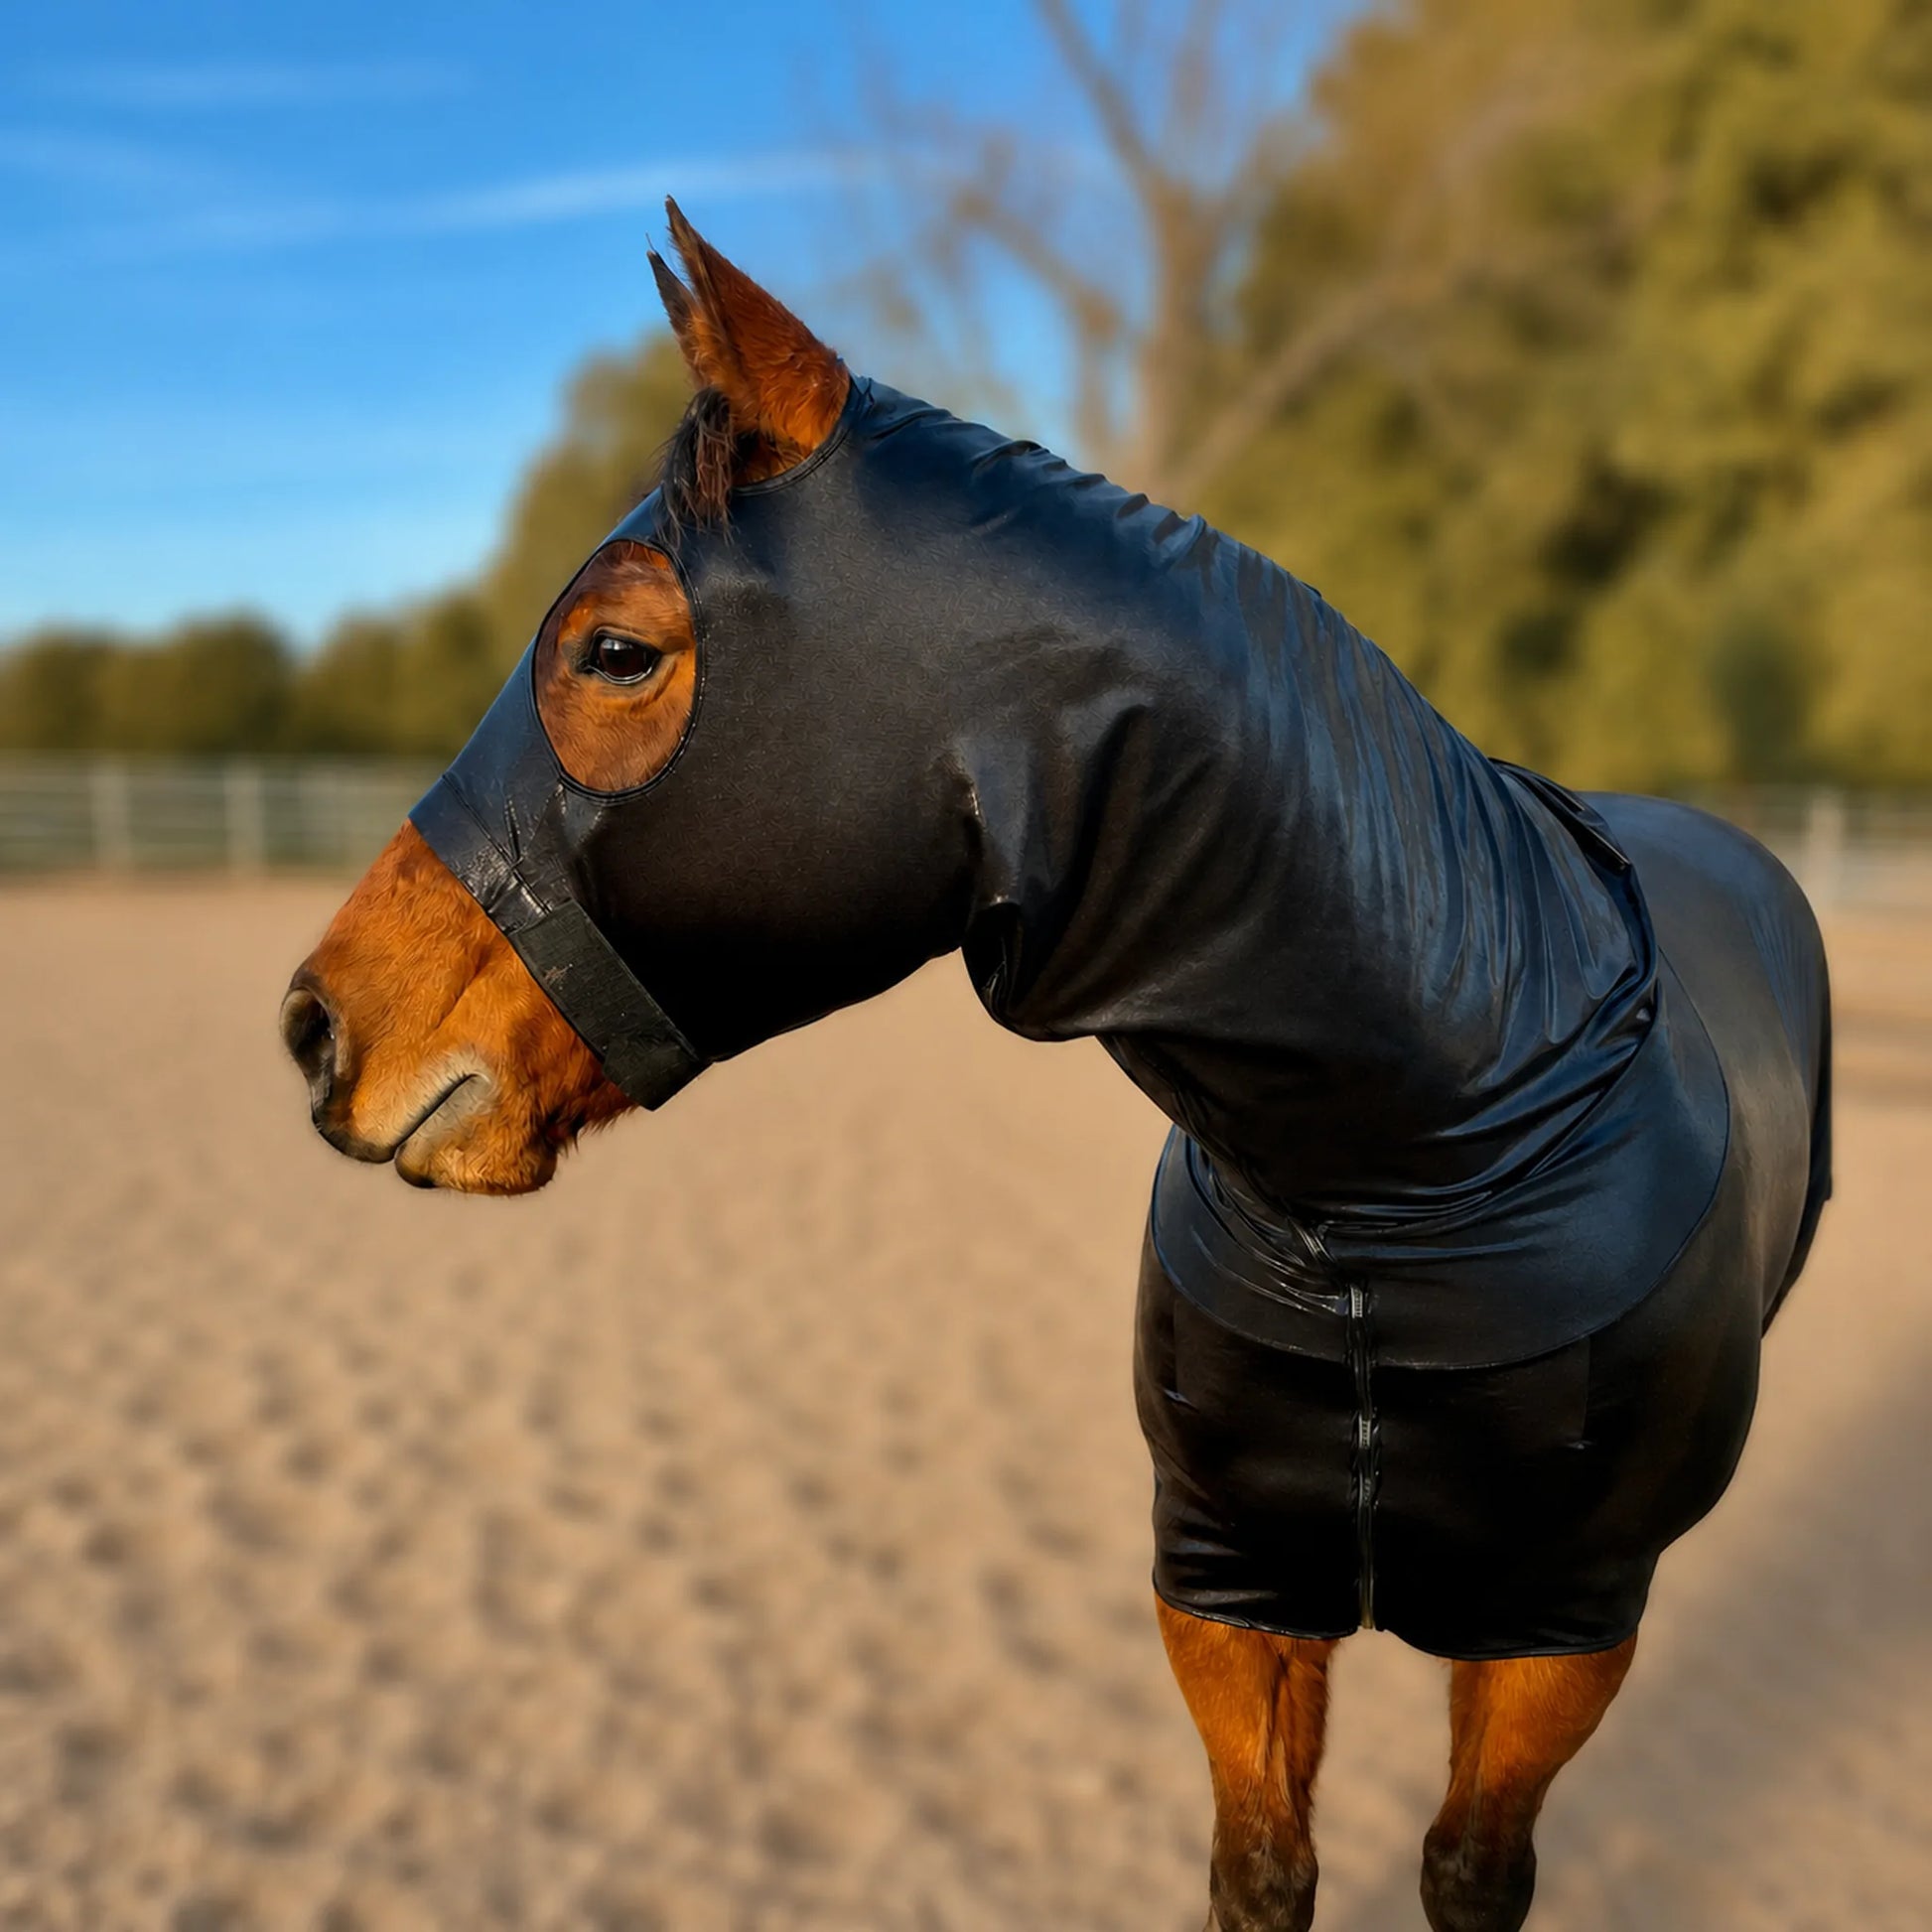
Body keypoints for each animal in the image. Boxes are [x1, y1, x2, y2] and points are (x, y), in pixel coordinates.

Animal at [281, 203, 1831, 1931]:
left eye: (613, 650)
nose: (320, 1023)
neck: (1405, 1178)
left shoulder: (1558, 1619)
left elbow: (1469, 1864)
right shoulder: (1226, 1587)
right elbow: (1261, 1866)